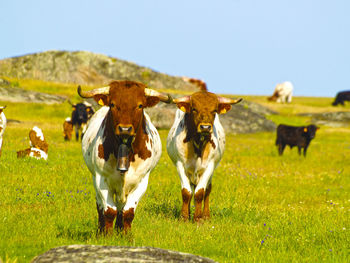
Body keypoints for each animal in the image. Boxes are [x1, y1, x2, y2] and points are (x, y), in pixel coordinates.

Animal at [167, 77, 243, 222]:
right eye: (194, 109)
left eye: (214, 111)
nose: (205, 127)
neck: (198, 144)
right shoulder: (180, 164)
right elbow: (186, 192)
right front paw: (184, 217)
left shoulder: (210, 166)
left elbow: (200, 192)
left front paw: (198, 219)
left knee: (207, 190)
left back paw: (206, 215)